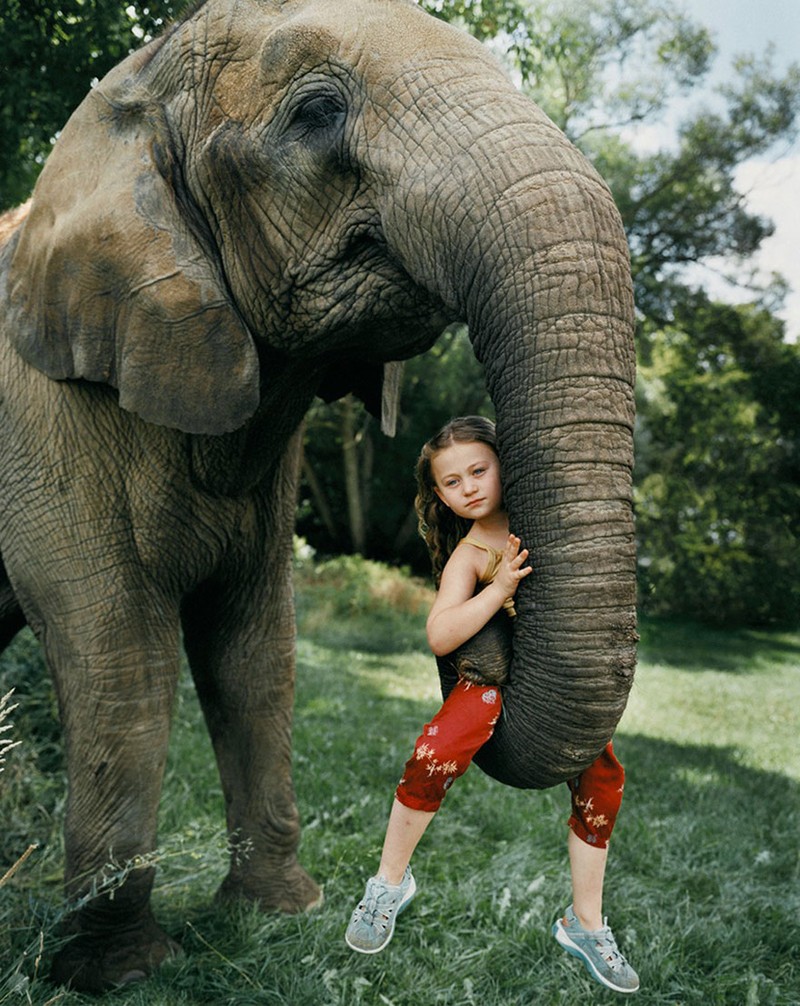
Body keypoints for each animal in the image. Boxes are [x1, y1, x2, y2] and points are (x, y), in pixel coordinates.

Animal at [0, 0, 640, 989]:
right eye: (315, 114)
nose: (475, 659)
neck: (122, 98)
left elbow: (258, 646)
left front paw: (279, 913)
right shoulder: (50, 418)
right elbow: (121, 649)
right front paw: (122, 969)